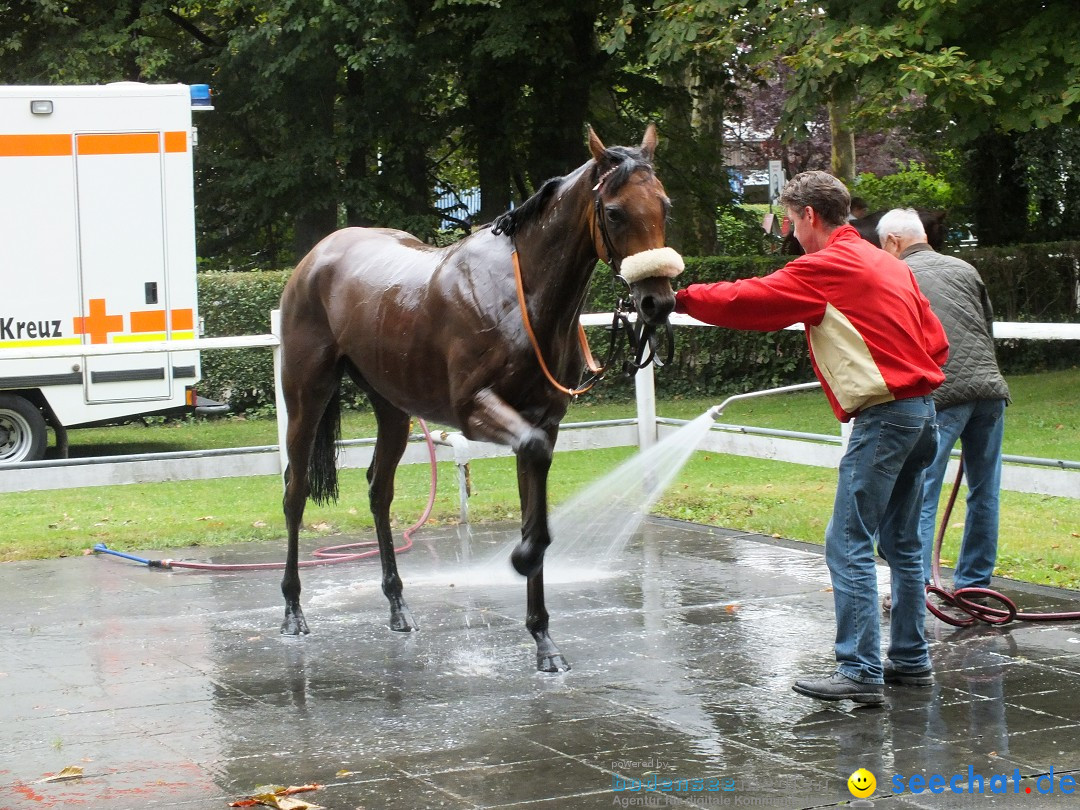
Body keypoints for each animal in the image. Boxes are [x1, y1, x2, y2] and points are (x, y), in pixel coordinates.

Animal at [280, 126, 682, 673]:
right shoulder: (475, 410)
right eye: (616, 211)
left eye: (664, 205)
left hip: (393, 408)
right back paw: (293, 610)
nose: (657, 303)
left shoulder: (544, 419)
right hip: (306, 395)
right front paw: (521, 558)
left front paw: (543, 638)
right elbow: (532, 474)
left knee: (379, 491)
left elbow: (534, 501)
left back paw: (398, 605)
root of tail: (318, 254)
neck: (521, 295)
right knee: (295, 491)